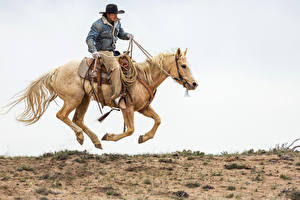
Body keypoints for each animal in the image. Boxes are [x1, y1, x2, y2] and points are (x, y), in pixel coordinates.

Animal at [6, 47, 197, 149]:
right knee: (62, 115)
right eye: (183, 66)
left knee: (77, 119)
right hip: (73, 99)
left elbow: (158, 120)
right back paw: (82, 137)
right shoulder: (128, 108)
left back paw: (95, 141)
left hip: (84, 99)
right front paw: (110, 136)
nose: (194, 84)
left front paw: (143, 138)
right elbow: (130, 130)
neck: (144, 76)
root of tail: (57, 70)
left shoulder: (143, 108)